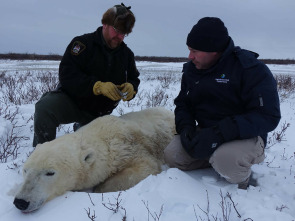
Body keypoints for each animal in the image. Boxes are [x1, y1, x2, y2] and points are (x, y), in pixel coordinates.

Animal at [13, 107, 176, 212]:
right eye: (25, 170)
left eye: (50, 173)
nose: (21, 202)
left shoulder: (131, 148)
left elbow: (145, 167)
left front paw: (98, 188)